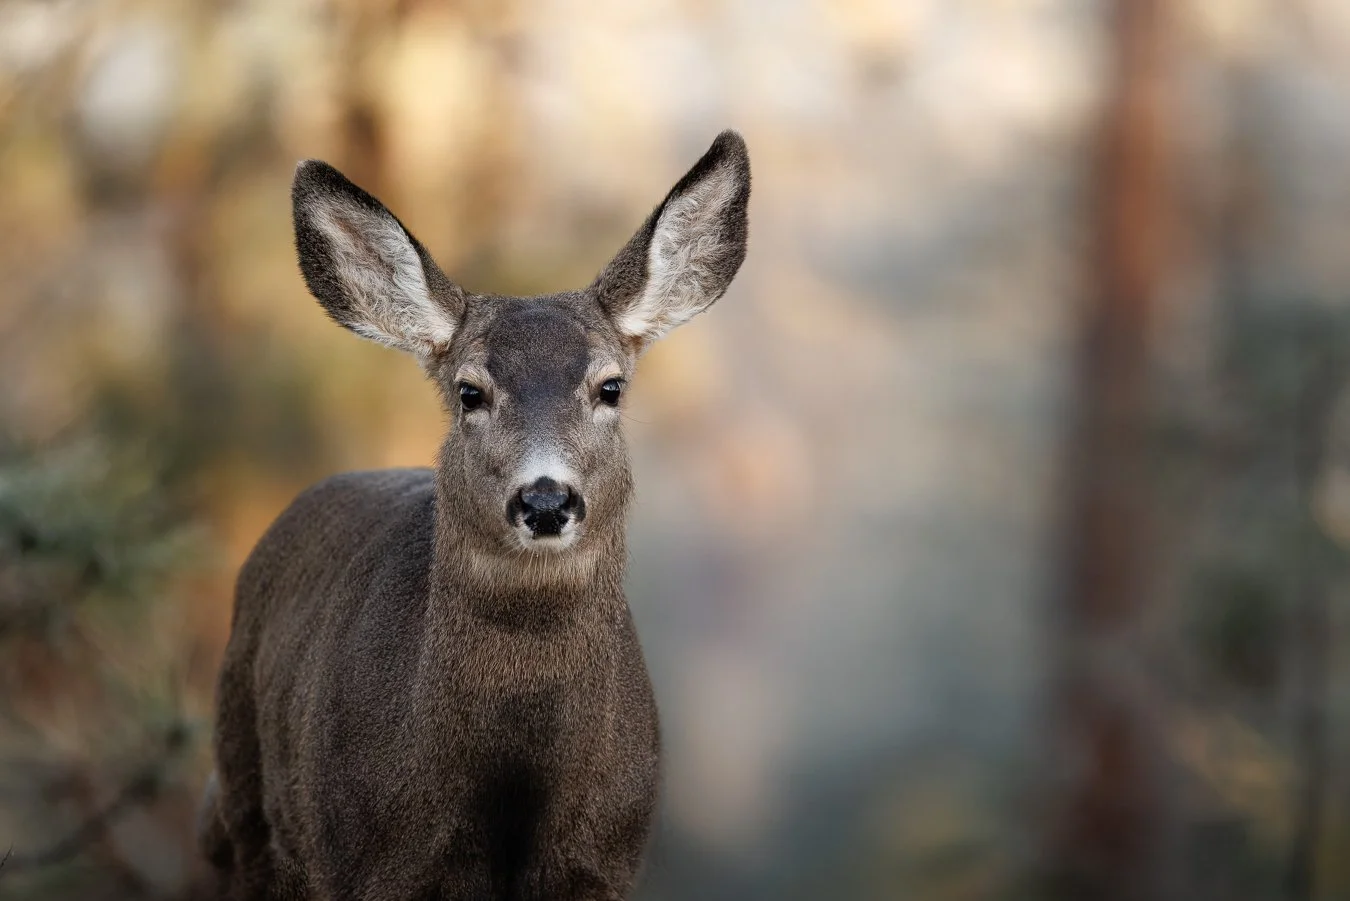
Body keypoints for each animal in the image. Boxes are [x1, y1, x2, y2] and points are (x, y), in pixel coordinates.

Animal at [198, 130, 750, 901]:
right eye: (470, 391)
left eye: (609, 386)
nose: (546, 499)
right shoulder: (362, 861)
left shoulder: (605, 862)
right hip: (244, 796)